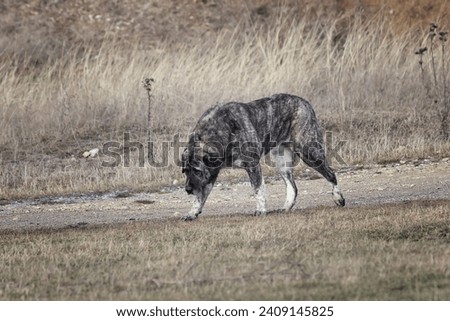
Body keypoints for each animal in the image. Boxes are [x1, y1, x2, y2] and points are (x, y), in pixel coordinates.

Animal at [179, 92, 344, 220]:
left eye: (197, 171)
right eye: (185, 171)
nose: (187, 189)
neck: (219, 131)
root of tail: (305, 103)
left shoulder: (252, 165)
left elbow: (258, 189)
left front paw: (260, 210)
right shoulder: (210, 175)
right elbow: (200, 197)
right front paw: (192, 213)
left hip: (309, 151)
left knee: (331, 174)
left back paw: (338, 198)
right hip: (282, 163)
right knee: (293, 187)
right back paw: (285, 208)